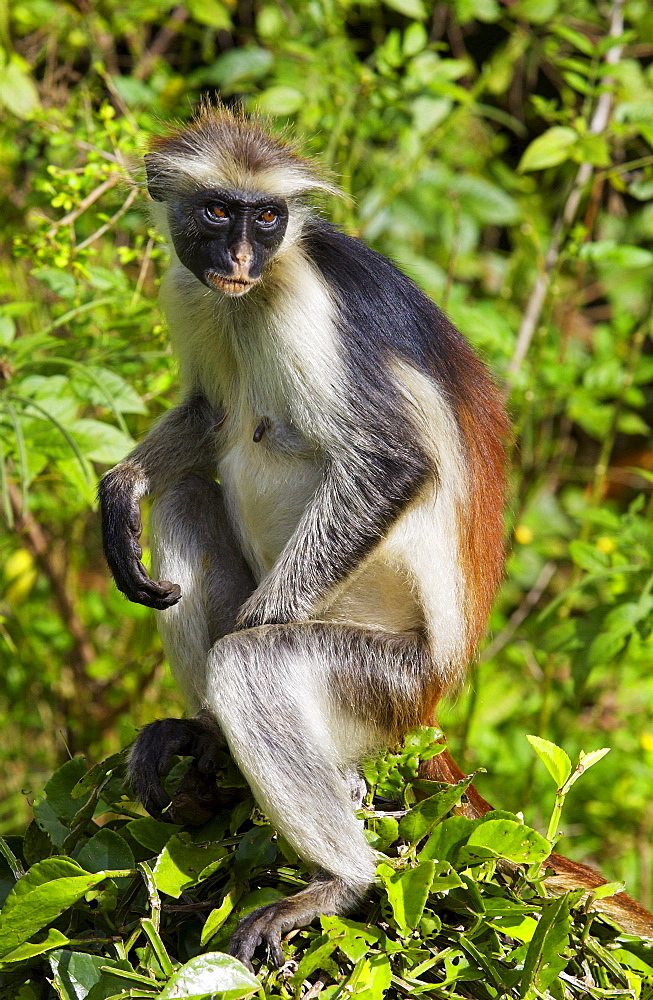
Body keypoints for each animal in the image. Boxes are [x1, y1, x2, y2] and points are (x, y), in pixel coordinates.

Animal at [98, 105, 652, 964]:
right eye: (218, 212)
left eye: (268, 217)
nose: (241, 256)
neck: (252, 296)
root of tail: (434, 696)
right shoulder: (192, 288)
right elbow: (209, 412)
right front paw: (121, 487)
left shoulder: (306, 299)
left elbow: (393, 464)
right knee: (184, 498)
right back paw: (200, 732)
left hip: (382, 681)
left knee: (254, 664)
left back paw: (335, 878)